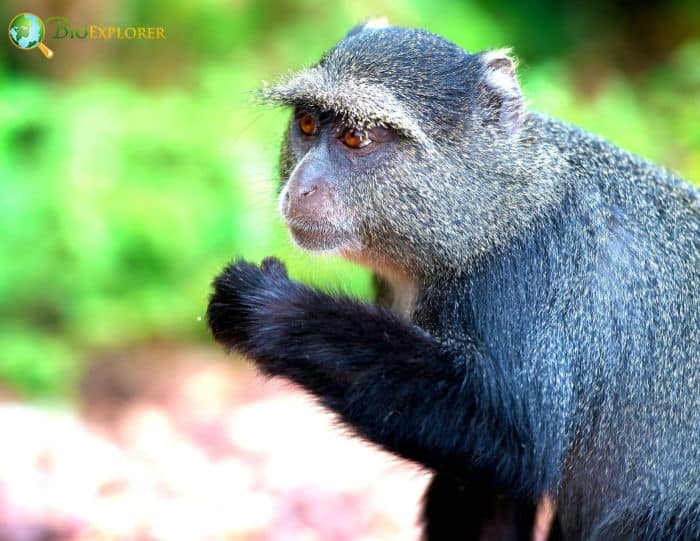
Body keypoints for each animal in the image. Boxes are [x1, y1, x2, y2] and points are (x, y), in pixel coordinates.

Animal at [207, 21, 700, 540]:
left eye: (355, 137)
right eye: (305, 125)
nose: (299, 187)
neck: (492, 209)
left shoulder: (530, 272)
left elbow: (515, 438)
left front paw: (271, 309)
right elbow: (485, 489)